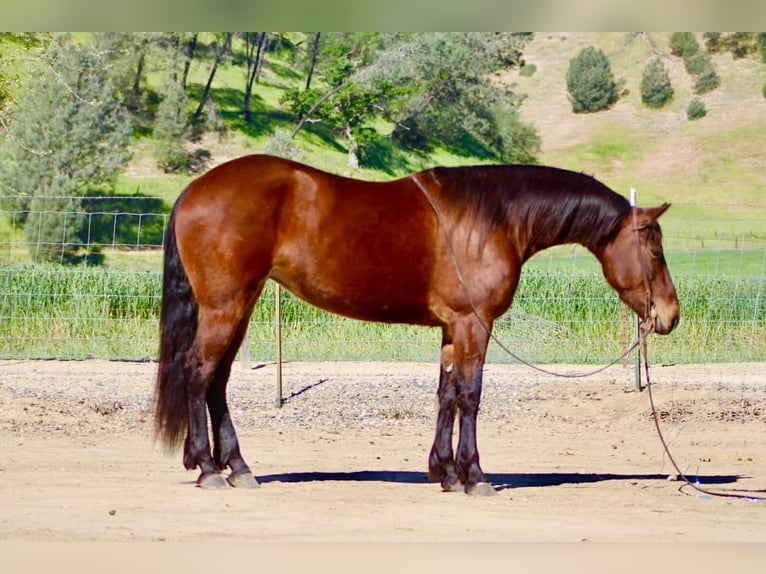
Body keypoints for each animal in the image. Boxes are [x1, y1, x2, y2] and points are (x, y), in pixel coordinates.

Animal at [154, 154, 679, 495]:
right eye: (655, 250)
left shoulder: (452, 329)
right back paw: (210, 468)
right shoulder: (474, 325)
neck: (493, 219)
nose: (670, 314)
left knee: (218, 380)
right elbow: (471, 395)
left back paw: (237, 466)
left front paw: (443, 471)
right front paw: (474, 476)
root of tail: (195, 189)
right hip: (225, 307)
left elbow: (446, 394)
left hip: (239, 306)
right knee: (198, 372)